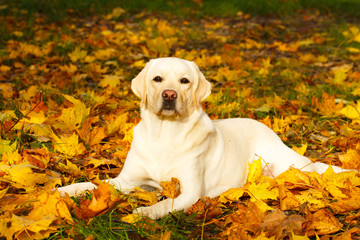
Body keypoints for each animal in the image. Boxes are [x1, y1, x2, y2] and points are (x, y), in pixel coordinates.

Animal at [57, 57, 346, 219]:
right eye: (157, 79)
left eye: (184, 81)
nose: (169, 95)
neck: (166, 134)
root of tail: (268, 130)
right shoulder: (128, 180)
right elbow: (95, 184)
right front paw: (63, 190)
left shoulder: (190, 190)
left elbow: (167, 203)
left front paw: (146, 212)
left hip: (291, 167)